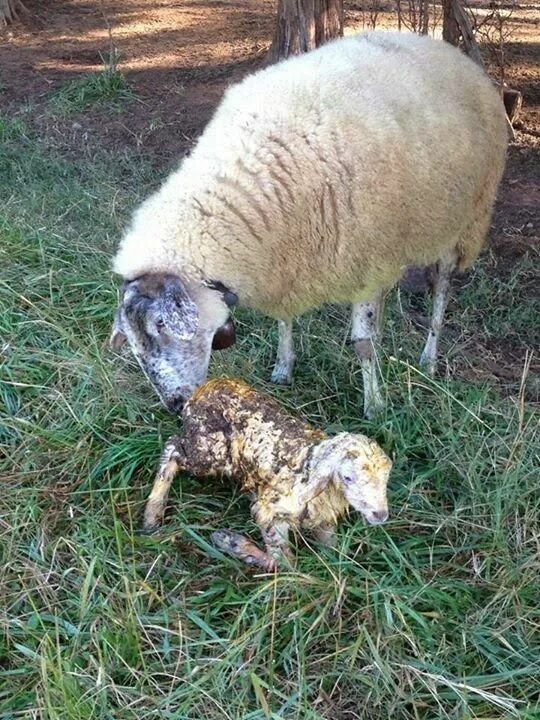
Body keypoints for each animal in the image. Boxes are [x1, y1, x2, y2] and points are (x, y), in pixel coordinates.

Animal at [112, 31, 508, 420]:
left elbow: (363, 344)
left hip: (464, 220)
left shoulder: (366, 259)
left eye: (161, 325)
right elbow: (285, 320)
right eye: (132, 341)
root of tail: (445, 49)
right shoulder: (289, 259)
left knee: (441, 289)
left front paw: (374, 406)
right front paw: (283, 368)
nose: (176, 405)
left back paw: (429, 357)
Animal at [143, 376, 390, 568]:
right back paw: (152, 515)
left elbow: (331, 552)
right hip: (209, 450)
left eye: (385, 479)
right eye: (347, 477)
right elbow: (284, 563)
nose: (381, 515)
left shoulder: (324, 517)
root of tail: (201, 391)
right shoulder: (269, 510)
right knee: (172, 448)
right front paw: (229, 541)